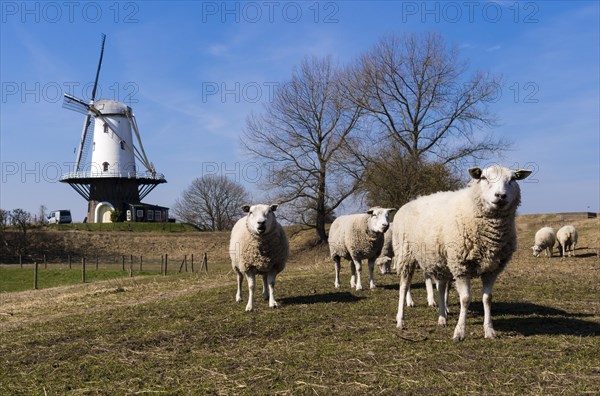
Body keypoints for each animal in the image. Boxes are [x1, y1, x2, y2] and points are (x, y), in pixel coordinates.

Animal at [396, 164, 532, 340]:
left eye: (513, 179)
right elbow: (465, 299)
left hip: (442, 260)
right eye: (483, 178)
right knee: (404, 286)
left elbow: (487, 298)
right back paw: (400, 320)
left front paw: (489, 330)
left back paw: (442, 317)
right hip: (406, 254)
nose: (501, 196)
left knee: (441, 287)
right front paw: (460, 331)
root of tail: (411, 201)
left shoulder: (492, 269)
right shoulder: (461, 265)